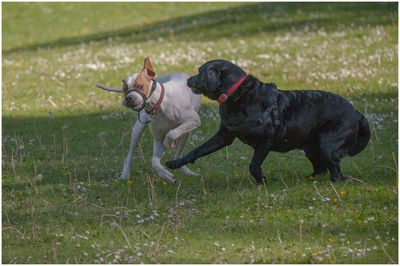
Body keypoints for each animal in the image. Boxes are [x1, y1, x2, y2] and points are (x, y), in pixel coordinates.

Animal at [165, 58, 368, 183]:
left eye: (200, 72)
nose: (188, 80)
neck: (237, 94)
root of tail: (357, 112)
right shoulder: (224, 136)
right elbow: (197, 151)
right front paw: (175, 163)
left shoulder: (265, 142)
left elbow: (253, 165)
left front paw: (261, 180)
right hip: (311, 147)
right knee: (320, 168)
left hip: (328, 144)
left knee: (336, 172)